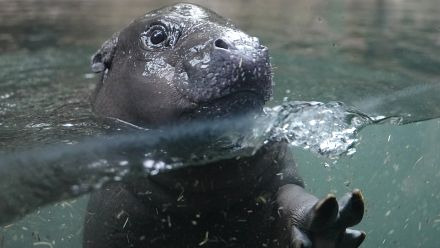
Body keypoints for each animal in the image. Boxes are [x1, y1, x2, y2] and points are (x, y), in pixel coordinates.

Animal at [84, 3, 366, 248]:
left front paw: (331, 224)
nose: (243, 44)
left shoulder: (281, 175)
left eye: (234, 25)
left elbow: (291, 196)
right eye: (157, 35)